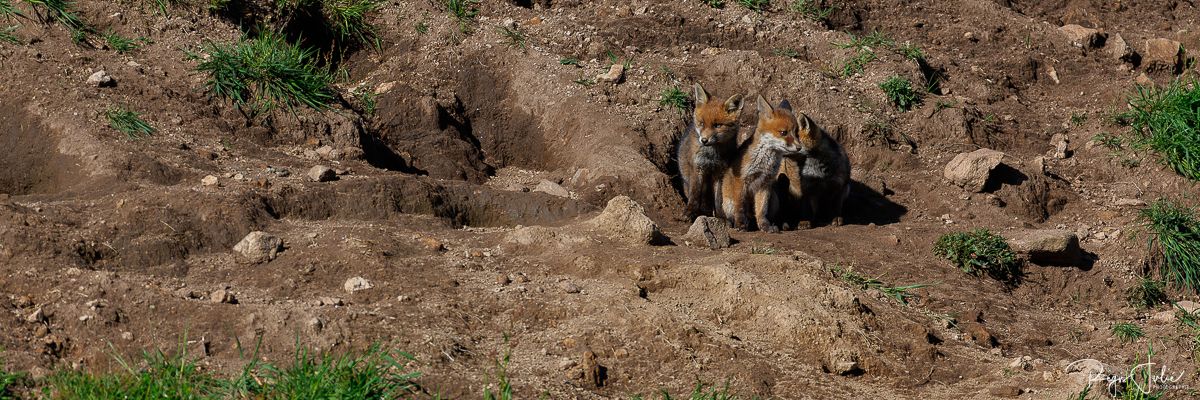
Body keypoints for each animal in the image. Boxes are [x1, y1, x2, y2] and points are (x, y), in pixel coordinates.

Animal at [676, 83, 739, 219]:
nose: (704, 140)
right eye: (701, 123)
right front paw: (690, 211)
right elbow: (694, 194)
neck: (711, 156)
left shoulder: (720, 172)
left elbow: (718, 199)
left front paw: (721, 217)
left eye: (717, 125)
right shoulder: (697, 168)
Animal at [715, 95, 801, 231]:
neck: (764, 164)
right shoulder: (741, 181)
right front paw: (740, 224)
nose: (799, 147)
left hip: (774, 199)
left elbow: (761, 210)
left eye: (796, 133)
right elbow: (740, 208)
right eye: (783, 133)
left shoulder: (765, 183)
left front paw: (765, 226)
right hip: (728, 203)